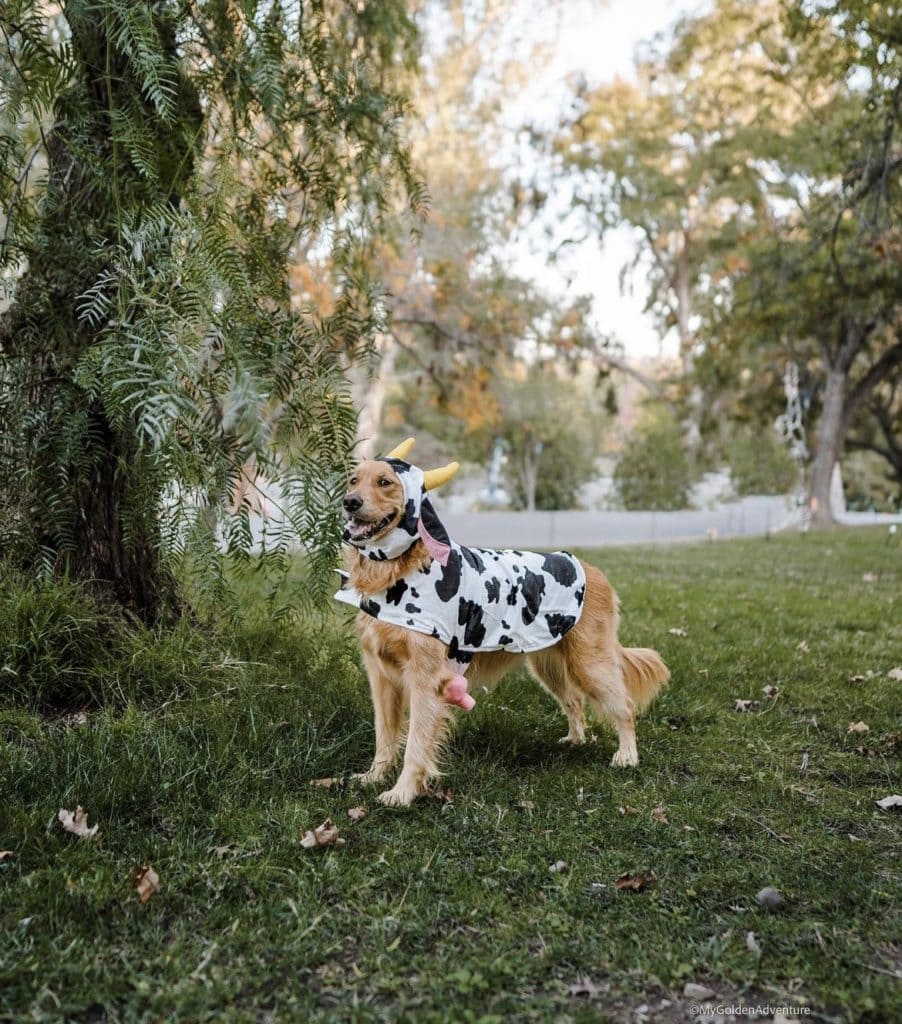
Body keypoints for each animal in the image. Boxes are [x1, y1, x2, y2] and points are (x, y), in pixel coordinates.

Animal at [333, 436, 663, 802]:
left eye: (385, 482)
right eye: (353, 480)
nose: (350, 502)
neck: (398, 571)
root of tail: (590, 569)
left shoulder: (425, 678)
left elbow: (416, 744)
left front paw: (402, 793)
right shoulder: (381, 676)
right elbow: (385, 736)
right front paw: (374, 776)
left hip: (590, 663)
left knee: (625, 707)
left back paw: (627, 755)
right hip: (548, 665)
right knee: (575, 701)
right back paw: (575, 740)